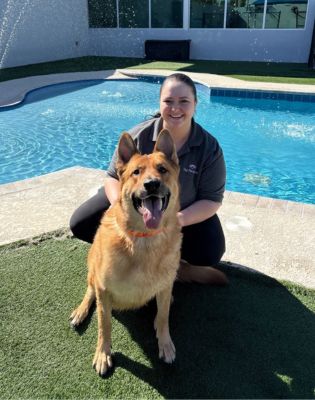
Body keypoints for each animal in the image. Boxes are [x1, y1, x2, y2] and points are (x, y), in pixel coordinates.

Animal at [69, 130, 183, 376]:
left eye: (162, 169)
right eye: (136, 172)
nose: (152, 184)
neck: (144, 240)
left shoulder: (165, 286)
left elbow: (163, 317)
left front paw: (165, 343)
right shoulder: (103, 290)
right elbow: (104, 325)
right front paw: (103, 354)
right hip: (93, 270)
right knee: (89, 291)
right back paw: (81, 311)